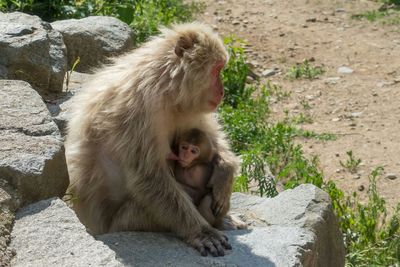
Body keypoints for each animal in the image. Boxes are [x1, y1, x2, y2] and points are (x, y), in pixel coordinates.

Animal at [65, 22, 239, 258]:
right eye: (217, 70)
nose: (222, 92)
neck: (166, 86)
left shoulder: (187, 107)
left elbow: (206, 135)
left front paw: (225, 171)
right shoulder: (137, 110)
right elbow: (148, 176)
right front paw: (202, 232)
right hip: (128, 221)